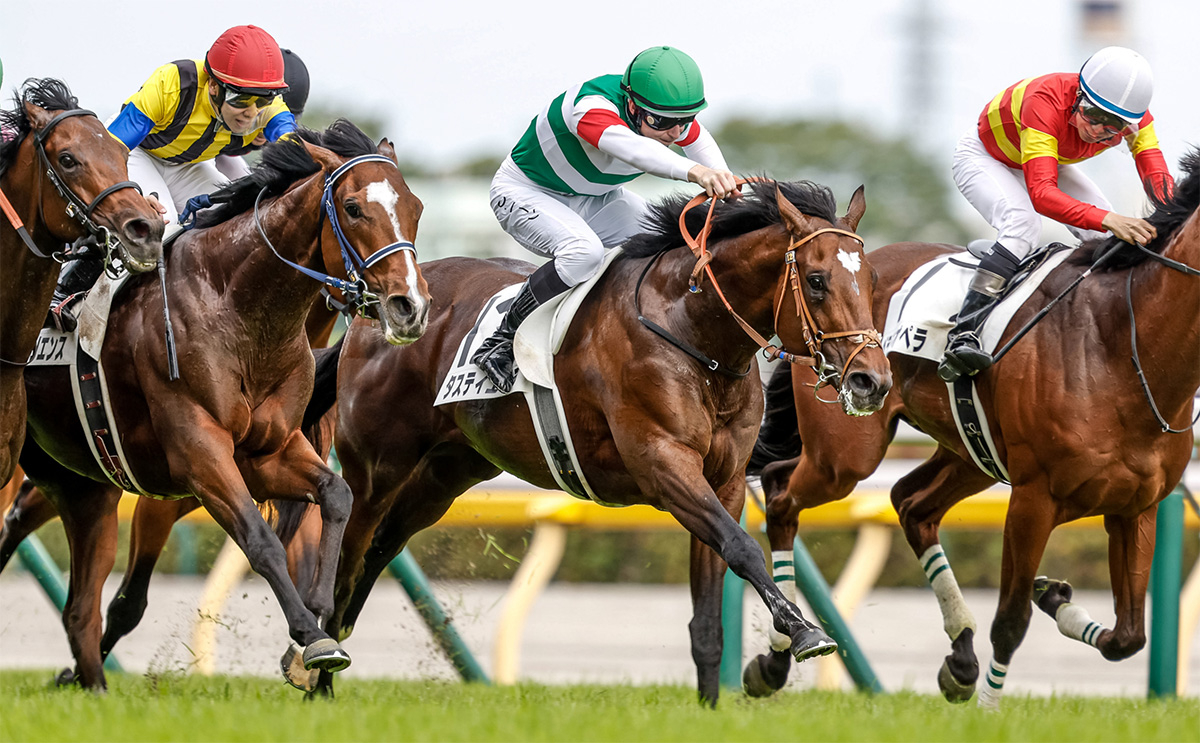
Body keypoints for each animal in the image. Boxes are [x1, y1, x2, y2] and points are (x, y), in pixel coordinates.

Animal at [5, 121, 432, 691]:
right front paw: (311, 637)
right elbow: (259, 538)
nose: (410, 307)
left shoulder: (268, 452)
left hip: (77, 473)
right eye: (353, 208)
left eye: (416, 206)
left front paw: (317, 618)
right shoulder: (199, 454)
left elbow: (336, 496)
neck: (239, 311)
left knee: (58, 567)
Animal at [288, 180, 892, 705]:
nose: (872, 380)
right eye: (817, 280)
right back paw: (319, 676)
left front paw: (712, 705)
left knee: (381, 549)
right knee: (351, 555)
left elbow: (710, 613)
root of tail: (378, 310)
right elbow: (743, 549)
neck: (694, 334)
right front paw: (805, 632)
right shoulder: (664, 466)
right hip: (377, 468)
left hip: (447, 472)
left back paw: (323, 657)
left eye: (870, 282)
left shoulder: (723, 483)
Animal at [744, 147, 1195, 710]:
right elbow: (1012, 620)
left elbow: (1129, 636)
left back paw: (959, 655)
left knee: (911, 503)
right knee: (783, 493)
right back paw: (778, 656)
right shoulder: (1033, 499)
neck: (1119, 346)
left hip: (970, 452)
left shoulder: (1138, 506)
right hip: (845, 456)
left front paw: (1056, 598)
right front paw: (991, 709)